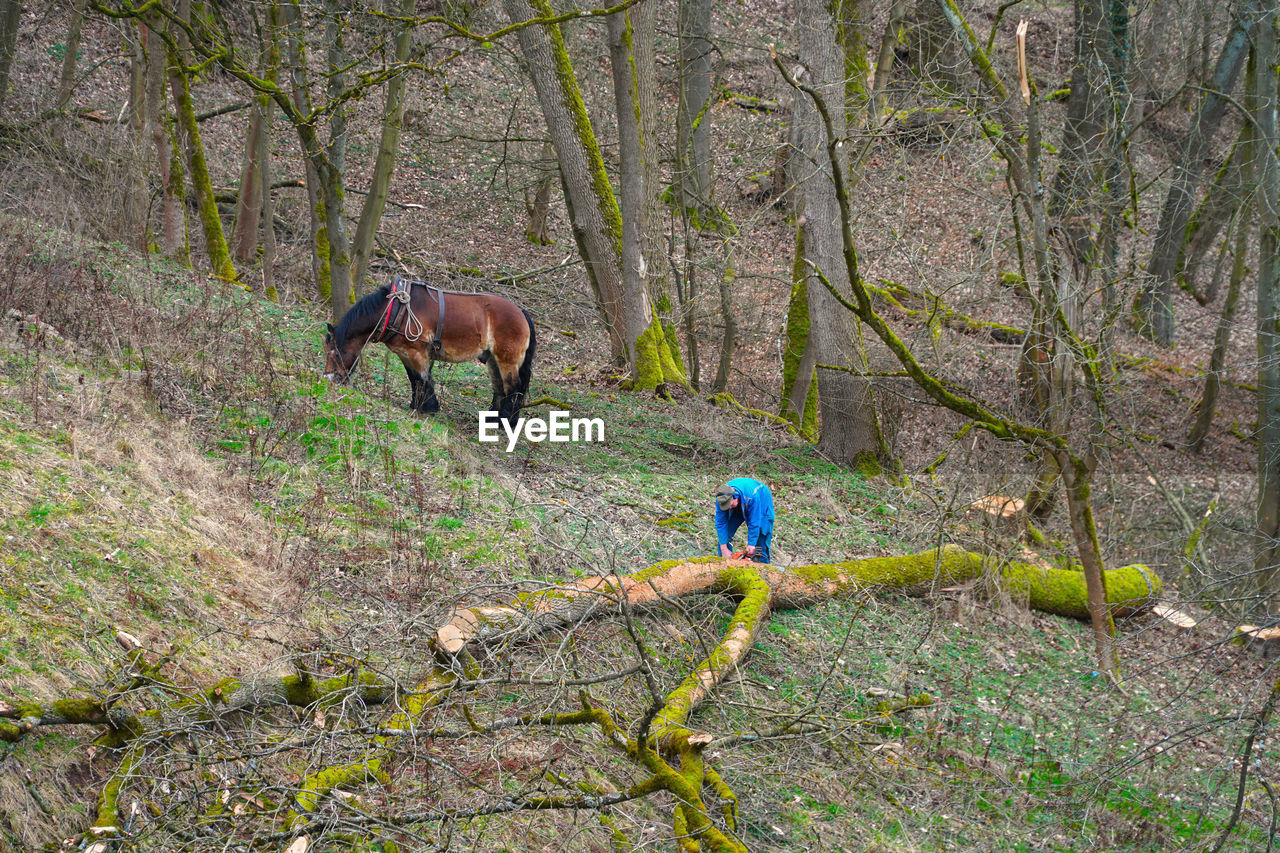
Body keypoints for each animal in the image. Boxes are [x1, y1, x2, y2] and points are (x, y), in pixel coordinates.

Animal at [325, 277, 540, 422]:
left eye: (334, 353)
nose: (329, 379)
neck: (398, 310)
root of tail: (521, 312)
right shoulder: (405, 352)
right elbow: (414, 379)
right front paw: (417, 404)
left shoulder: (416, 351)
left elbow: (422, 378)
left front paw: (428, 407)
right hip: (493, 360)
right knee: (499, 388)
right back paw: (493, 419)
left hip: (507, 360)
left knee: (513, 387)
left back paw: (506, 422)